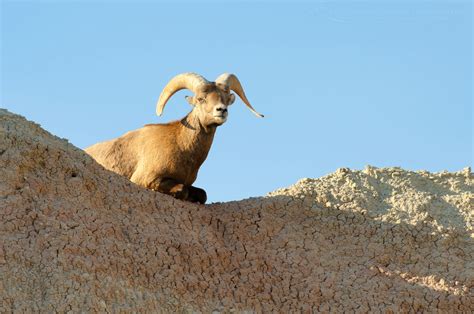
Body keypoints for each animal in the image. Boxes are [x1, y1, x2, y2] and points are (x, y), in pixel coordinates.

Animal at [85, 72, 262, 204]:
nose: (221, 110)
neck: (182, 147)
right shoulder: (146, 179)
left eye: (225, 99)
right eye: (201, 99)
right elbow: (182, 190)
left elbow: (202, 194)